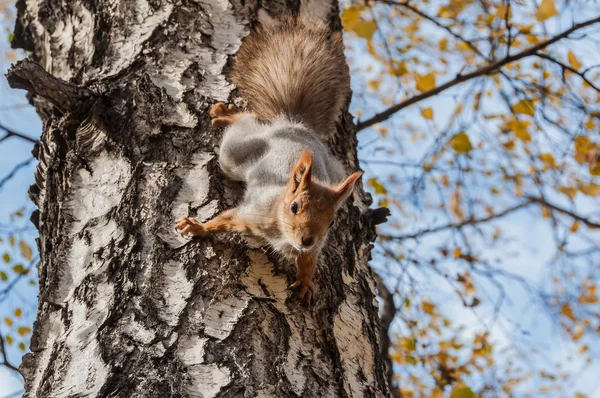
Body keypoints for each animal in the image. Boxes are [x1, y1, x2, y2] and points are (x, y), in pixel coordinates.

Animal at [175, 16, 360, 304]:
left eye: (331, 221)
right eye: (294, 207)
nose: (307, 239)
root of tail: (294, 125)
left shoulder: (313, 247)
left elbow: (308, 261)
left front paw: (306, 283)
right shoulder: (253, 213)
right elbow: (223, 220)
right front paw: (198, 228)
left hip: (336, 170)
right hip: (234, 154)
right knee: (245, 121)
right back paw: (227, 114)